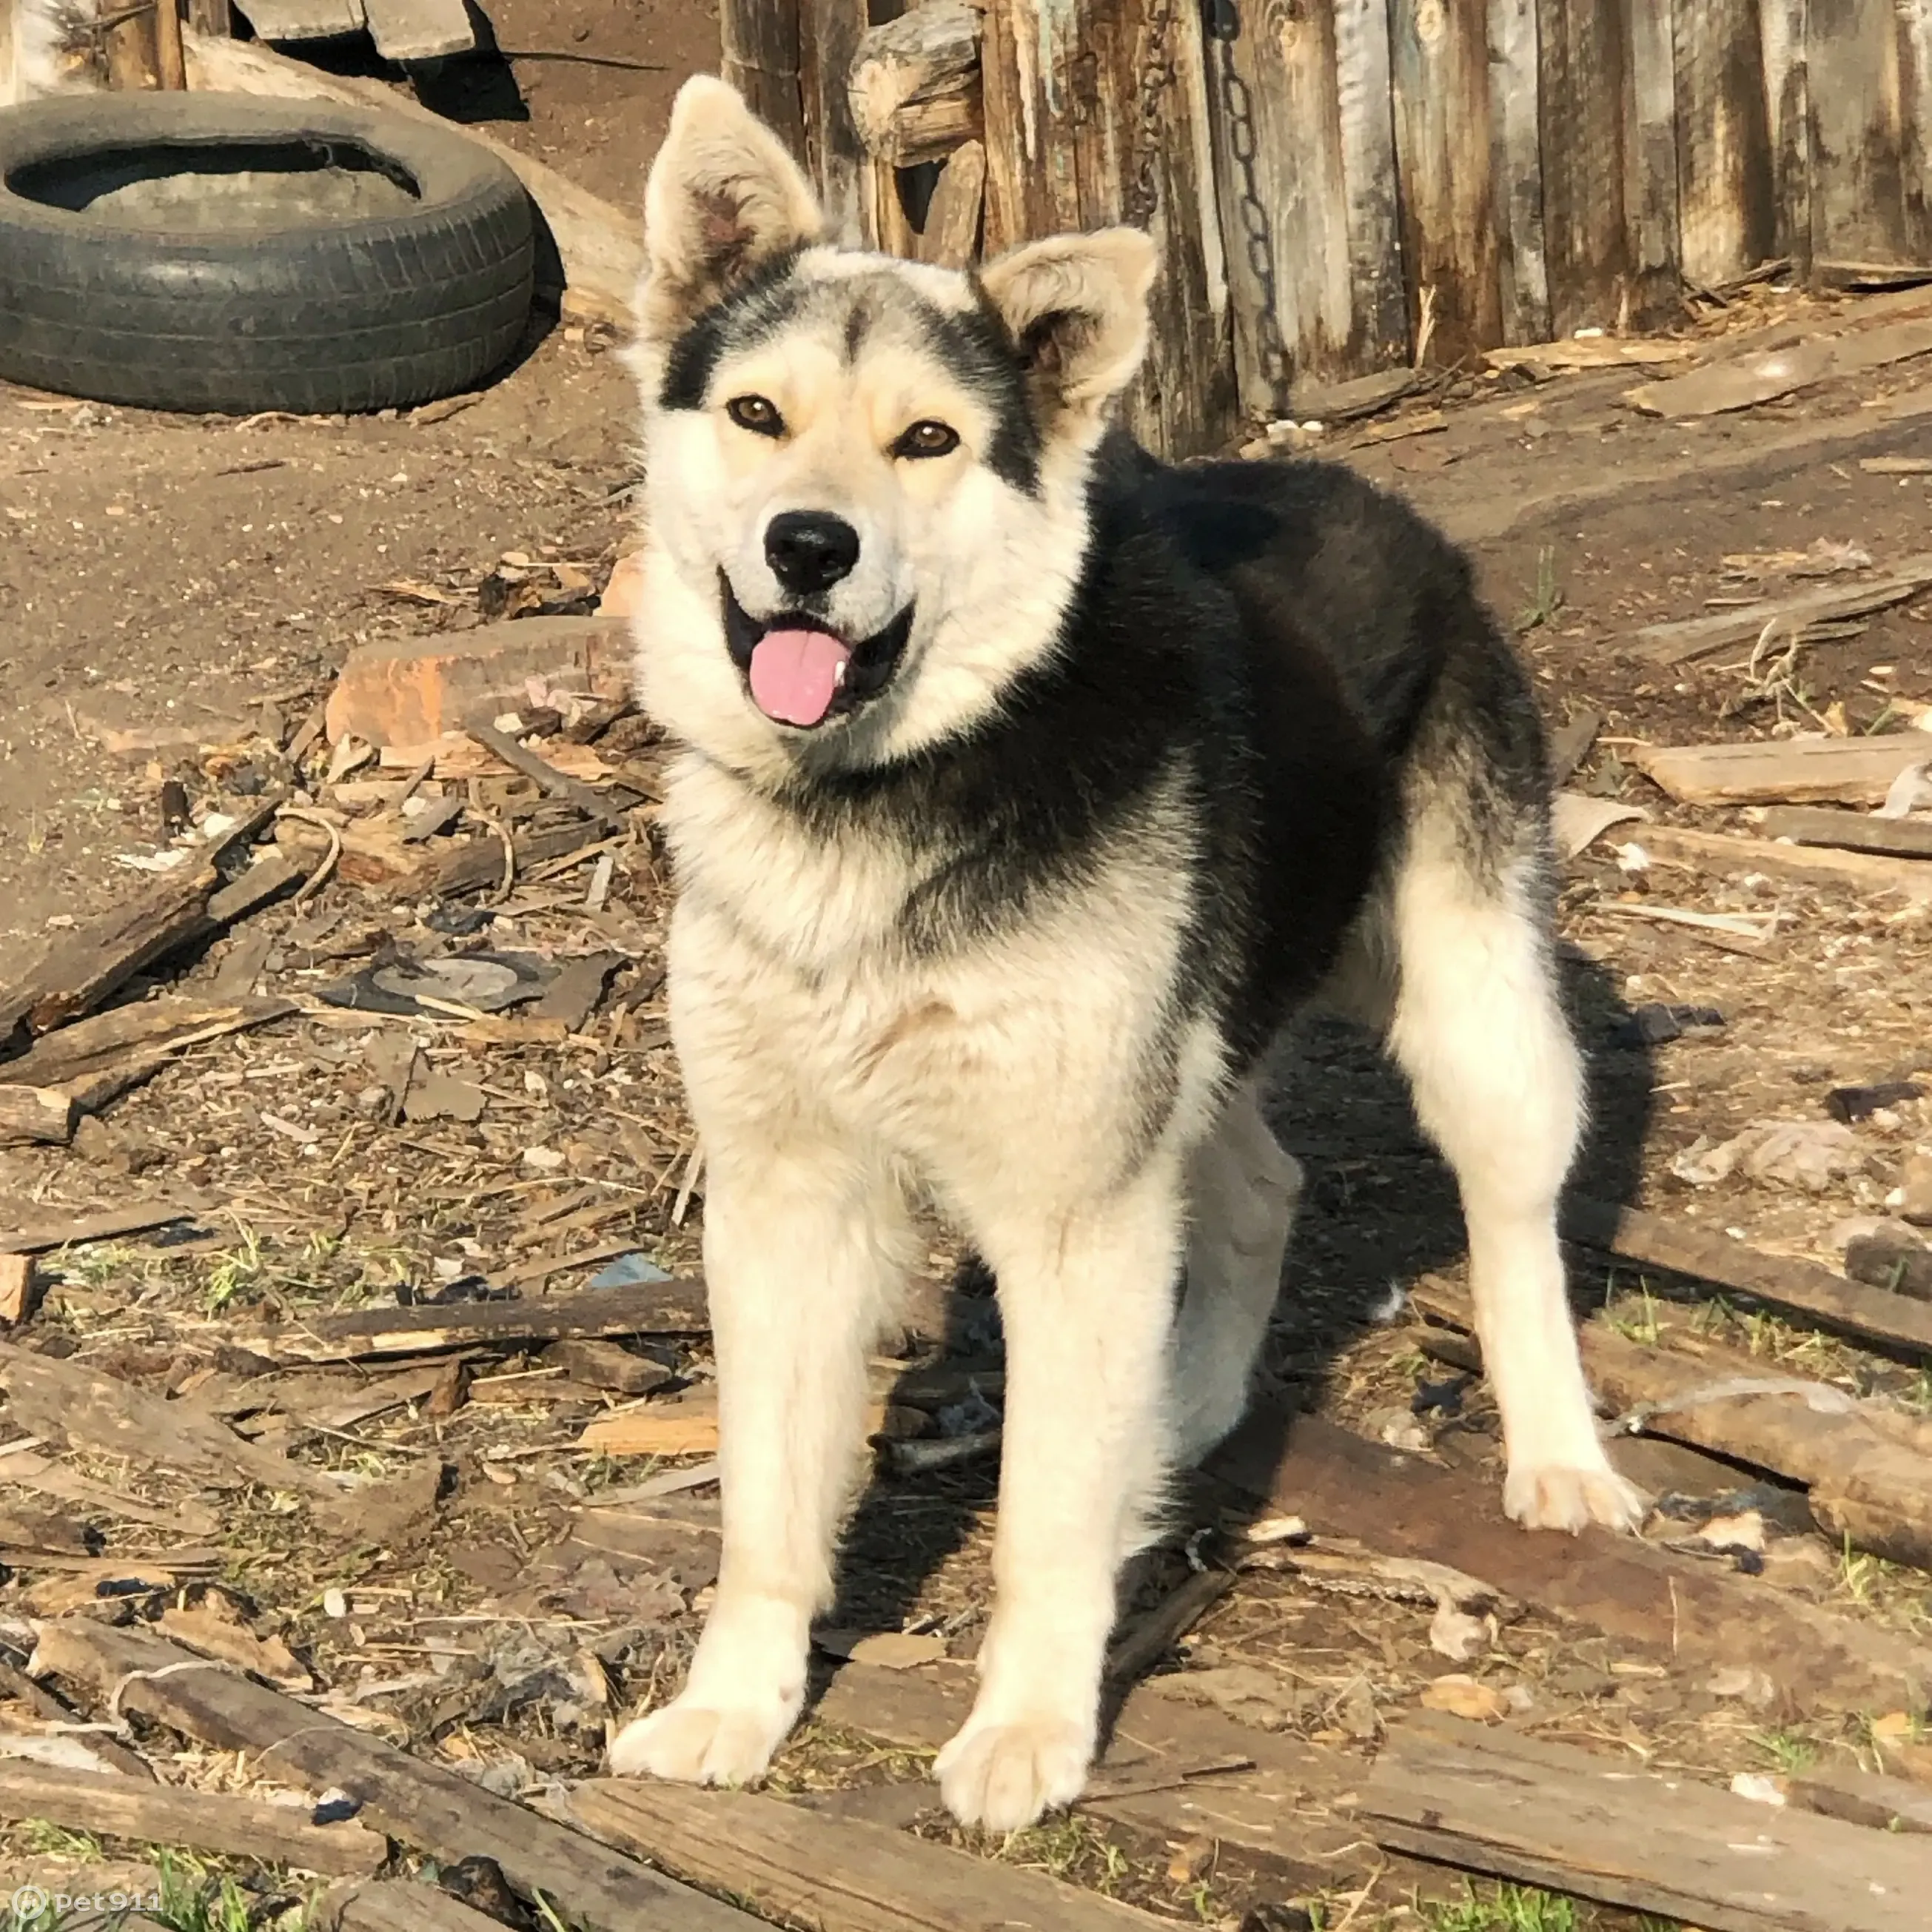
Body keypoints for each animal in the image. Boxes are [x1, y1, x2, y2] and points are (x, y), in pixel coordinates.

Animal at [610, 71, 1638, 1823]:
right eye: (755, 416)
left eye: (929, 442)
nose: (811, 548)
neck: (902, 778)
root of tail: (1372, 495)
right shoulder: (787, 1196)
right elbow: (765, 1508)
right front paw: (738, 1702)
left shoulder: (1069, 1212)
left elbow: (1040, 1518)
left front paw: (1027, 1728)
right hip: (1185, 1053)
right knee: (1259, 1193)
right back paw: (1180, 1417)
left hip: (1472, 1020)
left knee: (1512, 1226)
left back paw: (1554, 1454)